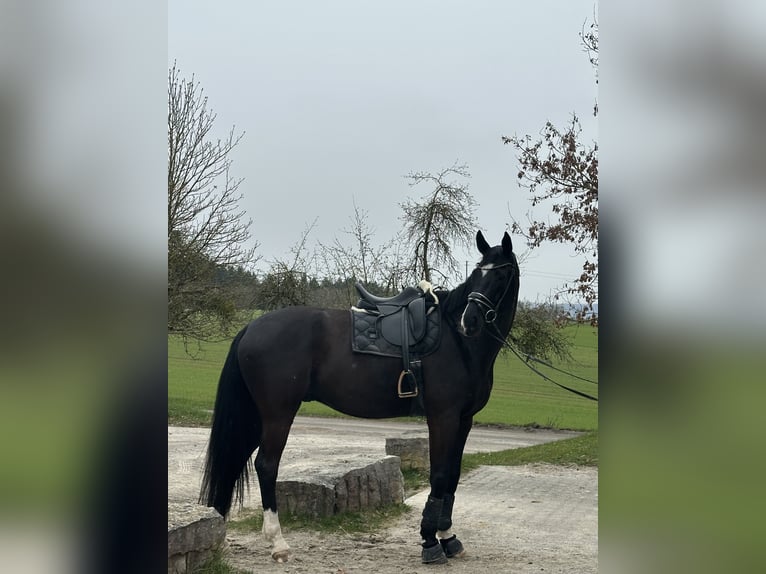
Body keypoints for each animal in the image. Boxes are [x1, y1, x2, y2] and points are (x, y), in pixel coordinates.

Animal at [199, 230, 520, 564]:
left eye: (501, 275)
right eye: (478, 273)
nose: (469, 321)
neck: (457, 342)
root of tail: (251, 326)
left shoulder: (464, 420)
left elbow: (453, 476)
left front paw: (448, 537)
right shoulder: (442, 417)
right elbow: (440, 475)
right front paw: (430, 542)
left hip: (254, 416)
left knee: (236, 459)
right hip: (278, 414)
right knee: (266, 465)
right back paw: (278, 543)